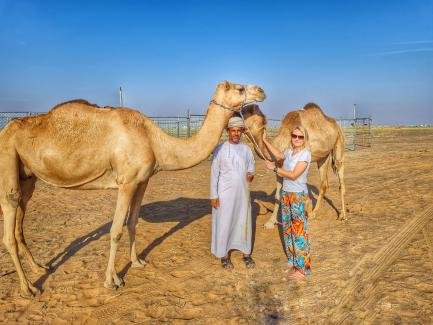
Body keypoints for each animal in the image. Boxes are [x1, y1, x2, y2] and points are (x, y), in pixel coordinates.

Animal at [0, 80, 264, 296]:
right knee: (9, 226)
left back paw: (39, 267)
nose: (261, 90)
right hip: (8, 161)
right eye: (239, 88)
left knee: (20, 220)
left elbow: (133, 221)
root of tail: (5, 130)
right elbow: (116, 230)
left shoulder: (142, 180)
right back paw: (29, 288)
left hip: (28, 177)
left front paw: (137, 262)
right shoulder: (126, 181)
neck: (155, 141)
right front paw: (113, 281)